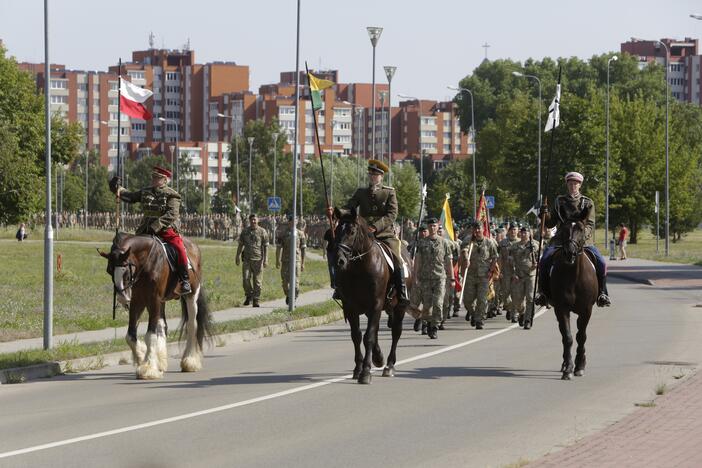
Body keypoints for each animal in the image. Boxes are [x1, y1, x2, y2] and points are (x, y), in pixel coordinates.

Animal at [99, 232, 212, 378]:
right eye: (109, 270)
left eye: (125, 269)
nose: (122, 298)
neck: (146, 262)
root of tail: (194, 246)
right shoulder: (137, 301)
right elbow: (130, 336)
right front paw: (142, 357)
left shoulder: (154, 300)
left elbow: (150, 335)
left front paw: (148, 368)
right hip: (161, 302)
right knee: (162, 325)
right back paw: (162, 362)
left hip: (191, 295)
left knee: (192, 325)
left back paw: (190, 361)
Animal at [334, 209, 416, 384]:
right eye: (336, 230)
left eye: (352, 232)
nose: (339, 260)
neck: (360, 267)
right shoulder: (350, 307)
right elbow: (357, 336)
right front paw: (358, 369)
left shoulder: (376, 304)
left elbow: (369, 337)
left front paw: (365, 372)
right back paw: (378, 357)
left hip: (400, 307)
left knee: (396, 332)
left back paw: (389, 365)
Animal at [552, 222, 600, 380]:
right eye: (564, 229)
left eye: (581, 229)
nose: (570, 253)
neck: (573, 276)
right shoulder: (561, 309)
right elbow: (567, 337)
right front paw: (568, 368)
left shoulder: (586, 310)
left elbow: (581, 336)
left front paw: (579, 366)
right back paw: (564, 364)